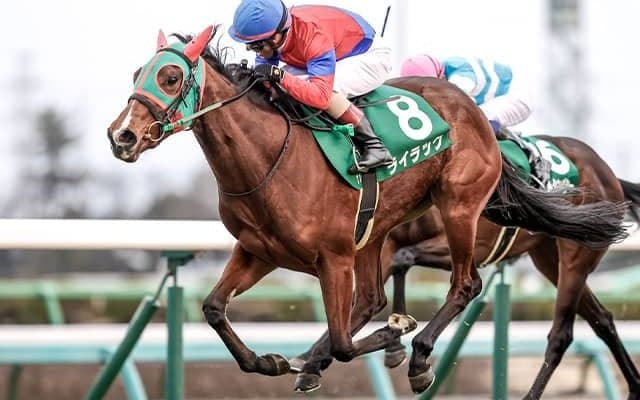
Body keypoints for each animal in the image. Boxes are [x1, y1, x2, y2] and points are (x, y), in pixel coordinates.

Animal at [291, 136, 640, 399]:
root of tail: (605, 169)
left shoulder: (472, 244)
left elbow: (405, 260)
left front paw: (398, 347)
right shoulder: (385, 244)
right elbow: (376, 284)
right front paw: (313, 360)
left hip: (575, 258)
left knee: (561, 335)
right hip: (548, 258)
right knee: (602, 319)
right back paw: (634, 385)